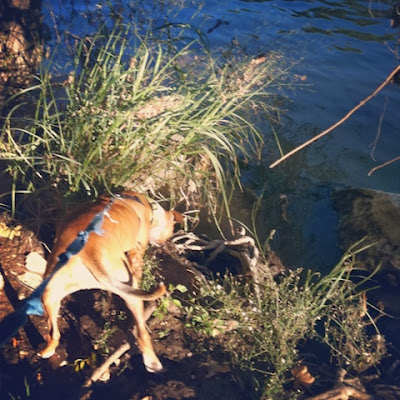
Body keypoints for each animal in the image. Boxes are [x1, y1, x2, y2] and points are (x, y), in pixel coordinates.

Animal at [39, 191, 183, 373]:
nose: (164, 244)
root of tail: (90, 250)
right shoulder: (136, 255)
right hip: (131, 290)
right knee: (142, 331)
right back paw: (152, 361)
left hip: (50, 291)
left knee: (54, 332)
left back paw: (48, 349)